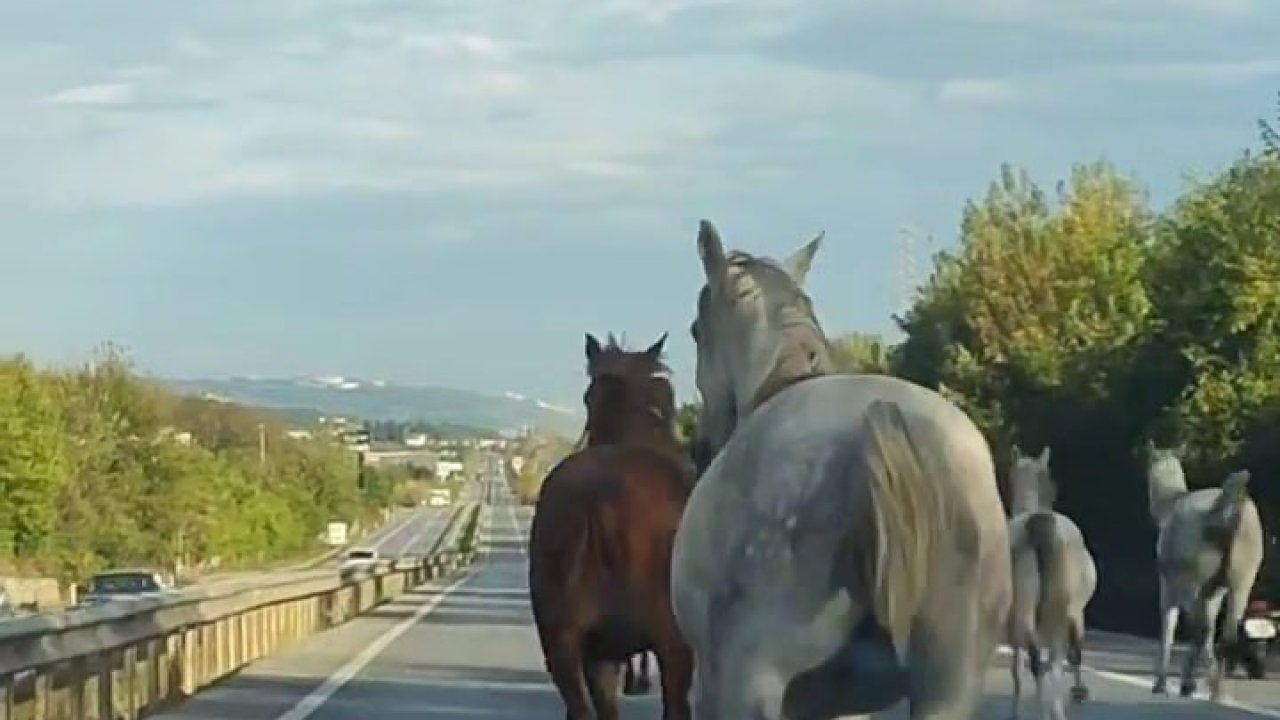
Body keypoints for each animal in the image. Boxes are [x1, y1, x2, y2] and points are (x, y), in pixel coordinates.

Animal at [1003, 443, 1095, 717]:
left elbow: (1017, 668)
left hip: (1029, 613)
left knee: (1039, 661)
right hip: (1063, 612)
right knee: (1058, 660)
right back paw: (1058, 707)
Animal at [1146, 440, 1264, 696]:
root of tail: (1226, 509)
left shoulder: (1170, 580)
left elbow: (1169, 624)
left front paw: (1162, 684)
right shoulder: (1213, 588)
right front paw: (1185, 683)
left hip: (1195, 570)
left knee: (1201, 628)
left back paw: (1208, 685)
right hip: (1245, 570)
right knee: (1227, 631)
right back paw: (1218, 687)